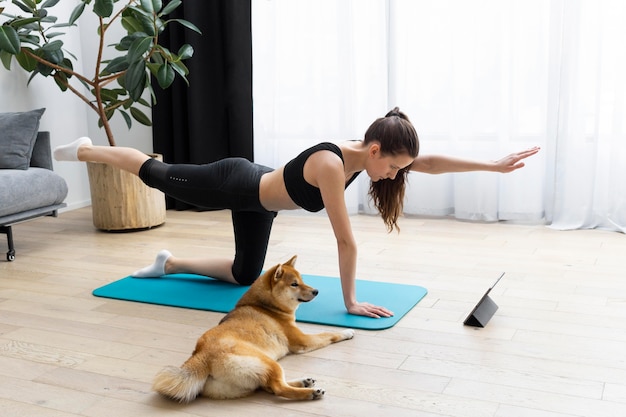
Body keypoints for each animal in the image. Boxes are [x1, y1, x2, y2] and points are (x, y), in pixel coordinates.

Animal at [152, 255, 352, 402]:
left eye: (302, 280)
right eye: (294, 284)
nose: (316, 291)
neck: (267, 306)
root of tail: (201, 355)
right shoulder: (303, 341)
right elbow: (329, 334)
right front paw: (346, 332)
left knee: (270, 387)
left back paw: (304, 382)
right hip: (267, 362)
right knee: (279, 388)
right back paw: (310, 392)